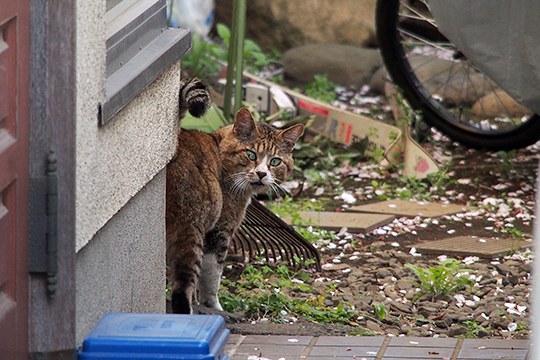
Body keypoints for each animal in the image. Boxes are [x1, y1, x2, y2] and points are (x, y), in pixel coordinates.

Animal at [166, 77, 304, 314]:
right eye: (250, 154)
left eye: (275, 161)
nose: (261, 174)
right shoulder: (220, 230)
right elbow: (212, 279)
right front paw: (213, 307)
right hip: (192, 228)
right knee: (184, 285)